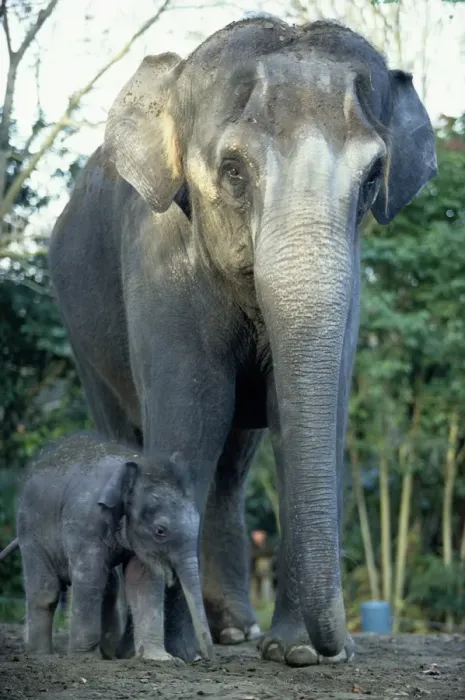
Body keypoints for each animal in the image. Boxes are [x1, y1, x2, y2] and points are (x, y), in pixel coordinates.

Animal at [9, 432, 213, 662]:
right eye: (160, 531)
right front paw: (85, 658)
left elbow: (143, 580)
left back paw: (108, 654)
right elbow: (89, 579)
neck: (138, 464)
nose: (205, 658)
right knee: (46, 592)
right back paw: (41, 655)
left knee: (110, 588)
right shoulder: (84, 522)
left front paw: (160, 658)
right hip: (30, 531)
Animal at [47, 16, 437, 666]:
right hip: (81, 332)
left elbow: (299, 414)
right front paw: (176, 654)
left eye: (371, 179)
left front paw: (293, 654)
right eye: (233, 170)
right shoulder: (160, 256)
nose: (343, 651)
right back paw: (123, 643)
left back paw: (234, 632)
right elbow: (195, 410)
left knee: (232, 468)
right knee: (128, 433)